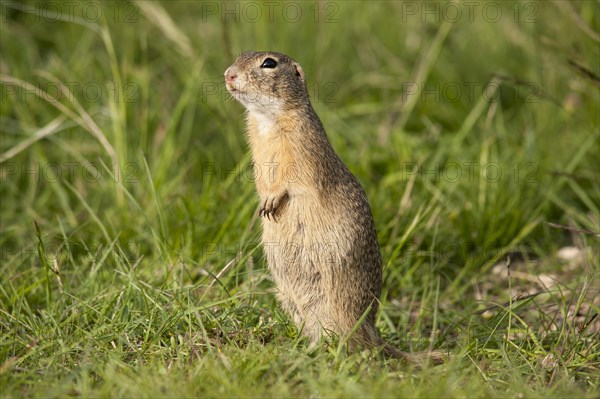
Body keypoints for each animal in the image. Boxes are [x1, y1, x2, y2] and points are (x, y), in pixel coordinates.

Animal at [225, 50, 436, 362]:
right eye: (240, 56)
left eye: (269, 63)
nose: (228, 74)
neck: (266, 119)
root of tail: (373, 332)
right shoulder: (256, 148)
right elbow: (261, 177)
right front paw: (263, 201)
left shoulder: (302, 144)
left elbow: (291, 176)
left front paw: (272, 199)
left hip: (339, 301)